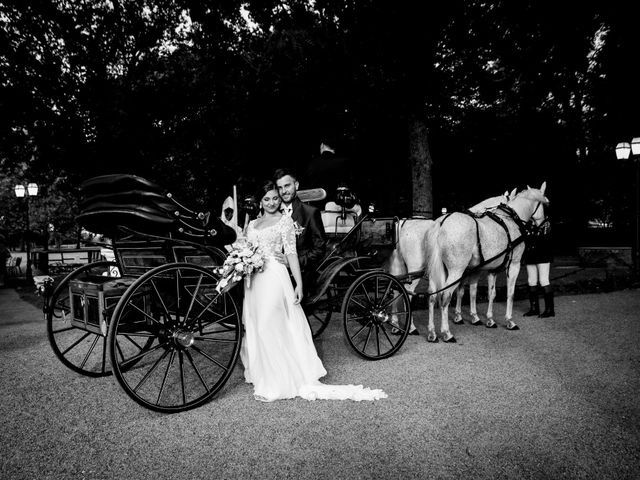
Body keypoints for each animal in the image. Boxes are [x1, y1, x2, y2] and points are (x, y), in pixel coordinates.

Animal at [428, 182, 548, 344]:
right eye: (545, 205)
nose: (545, 226)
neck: (510, 220)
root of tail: (442, 223)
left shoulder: (490, 269)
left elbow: (488, 293)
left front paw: (488, 319)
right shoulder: (513, 265)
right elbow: (510, 293)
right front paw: (509, 320)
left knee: (432, 296)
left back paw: (432, 332)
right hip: (456, 271)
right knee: (445, 296)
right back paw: (446, 332)